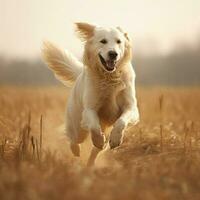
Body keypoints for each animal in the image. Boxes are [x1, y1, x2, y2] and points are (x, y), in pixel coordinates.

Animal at [42, 22, 139, 166]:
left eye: (119, 41)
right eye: (103, 41)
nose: (113, 54)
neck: (109, 77)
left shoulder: (131, 108)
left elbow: (121, 121)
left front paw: (116, 139)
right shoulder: (89, 109)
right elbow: (93, 125)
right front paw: (98, 139)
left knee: (96, 150)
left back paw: (90, 165)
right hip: (78, 125)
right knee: (73, 138)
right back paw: (76, 150)